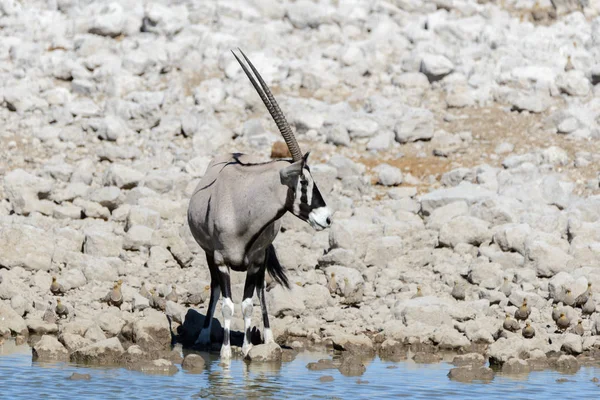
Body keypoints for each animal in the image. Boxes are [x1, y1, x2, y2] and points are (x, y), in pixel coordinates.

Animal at [188, 50, 332, 360]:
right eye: (303, 182)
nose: (327, 218)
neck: (243, 207)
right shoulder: (220, 259)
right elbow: (228, 304)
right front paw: (225, 354)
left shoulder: (255, 260)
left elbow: (248, 304)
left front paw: (246, 349)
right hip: (209, 255)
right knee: (215, 289)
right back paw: (204, 335)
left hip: (262, 257)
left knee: (261, 294)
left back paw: (268, 337)